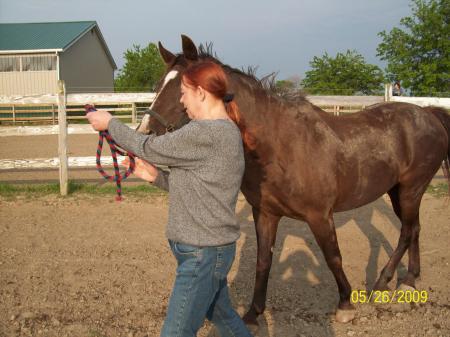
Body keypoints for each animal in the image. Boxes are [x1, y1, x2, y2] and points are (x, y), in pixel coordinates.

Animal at [134, 34, 450, 322]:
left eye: (184, 90)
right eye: (157, 86)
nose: (144, 134)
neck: (278, 145)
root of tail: (429, 115)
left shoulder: (320, 216)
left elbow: (333, 256)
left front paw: (345, 305)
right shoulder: (265, 213)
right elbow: (263, 261)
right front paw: (253, 313)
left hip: (411, 189)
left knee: (407, 231)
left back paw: (383, 282)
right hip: (398, 191)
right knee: (414, 228)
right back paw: (408, 281)